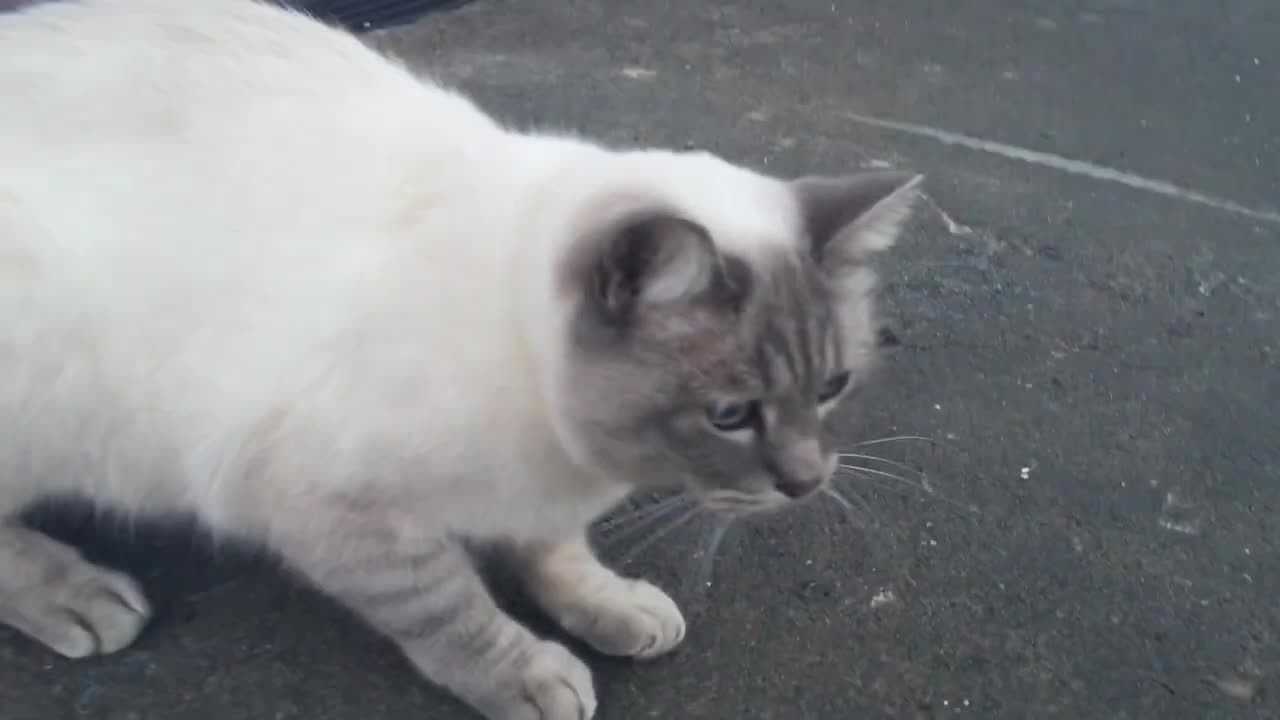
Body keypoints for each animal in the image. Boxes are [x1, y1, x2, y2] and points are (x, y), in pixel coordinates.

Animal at [0, 1, 921, 717]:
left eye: (833, 386)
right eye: (729, 414)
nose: (808, 482)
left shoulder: (538, 496)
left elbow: (556, 551)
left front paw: (610, 607)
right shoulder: (333, 510)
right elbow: (450, 613)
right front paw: (529, 677)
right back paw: (79, 596)